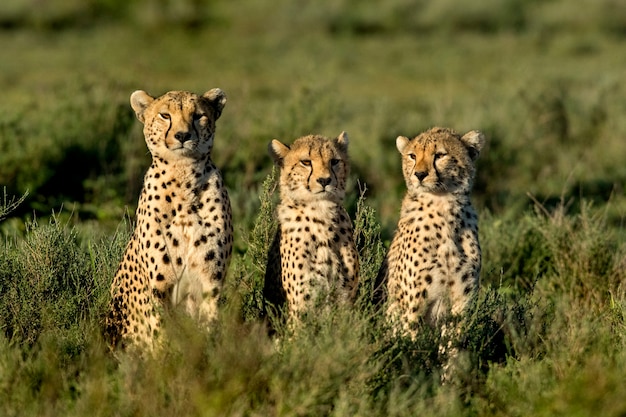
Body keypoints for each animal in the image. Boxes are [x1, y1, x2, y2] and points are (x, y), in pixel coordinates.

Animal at [106, 89, 233, 350]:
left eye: (198, 116)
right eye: (165, 115)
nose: (182, 135)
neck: (183, 175)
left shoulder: (211, 283)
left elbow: (208, 326)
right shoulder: (160, 287)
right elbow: (161, 330)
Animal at [264, 132, 358, 320]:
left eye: (334, 161)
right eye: (306, 162)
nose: (324, 180)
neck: (321, 214)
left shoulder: (345, 298)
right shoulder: (301, 303)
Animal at [376, 125, 482, 336]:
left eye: (440, 155)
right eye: (412, 156)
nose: (419, 174)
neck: (443, 205)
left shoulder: (462, 301)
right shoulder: (413, 304)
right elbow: (410, 339)